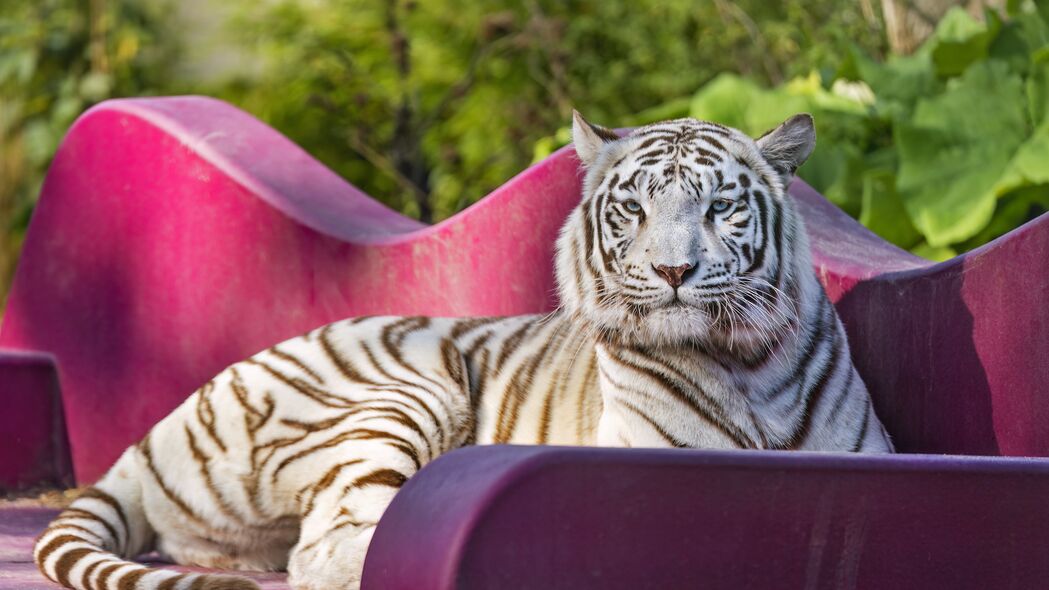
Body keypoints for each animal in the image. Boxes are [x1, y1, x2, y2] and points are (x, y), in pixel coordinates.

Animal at [32, 112, 889, 587]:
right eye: (634, 211)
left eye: (719, 208)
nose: (672, 272)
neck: (745, 367)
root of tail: (158, 430)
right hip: (407, 389)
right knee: (327, 546)